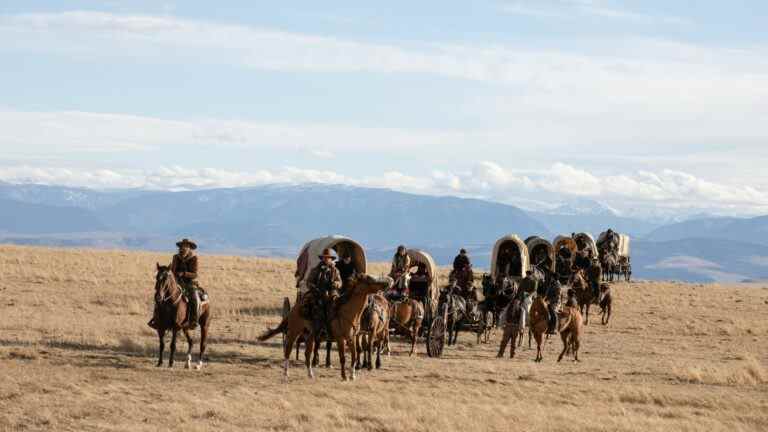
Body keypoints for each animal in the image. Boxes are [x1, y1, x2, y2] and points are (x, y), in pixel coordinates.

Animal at [260, 274, 392, 382]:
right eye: (370, 279)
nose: (388, 282)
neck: (347, 312)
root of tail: (295, 308)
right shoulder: (340, 339)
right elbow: (343, 358)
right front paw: (344, 376)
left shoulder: (352, 338)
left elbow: (354, 356)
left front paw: (352, 375)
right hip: (293, 332)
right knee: (288, 350)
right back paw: (286, 374)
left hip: (310, 336)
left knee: (307, 354)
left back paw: (310, 374)